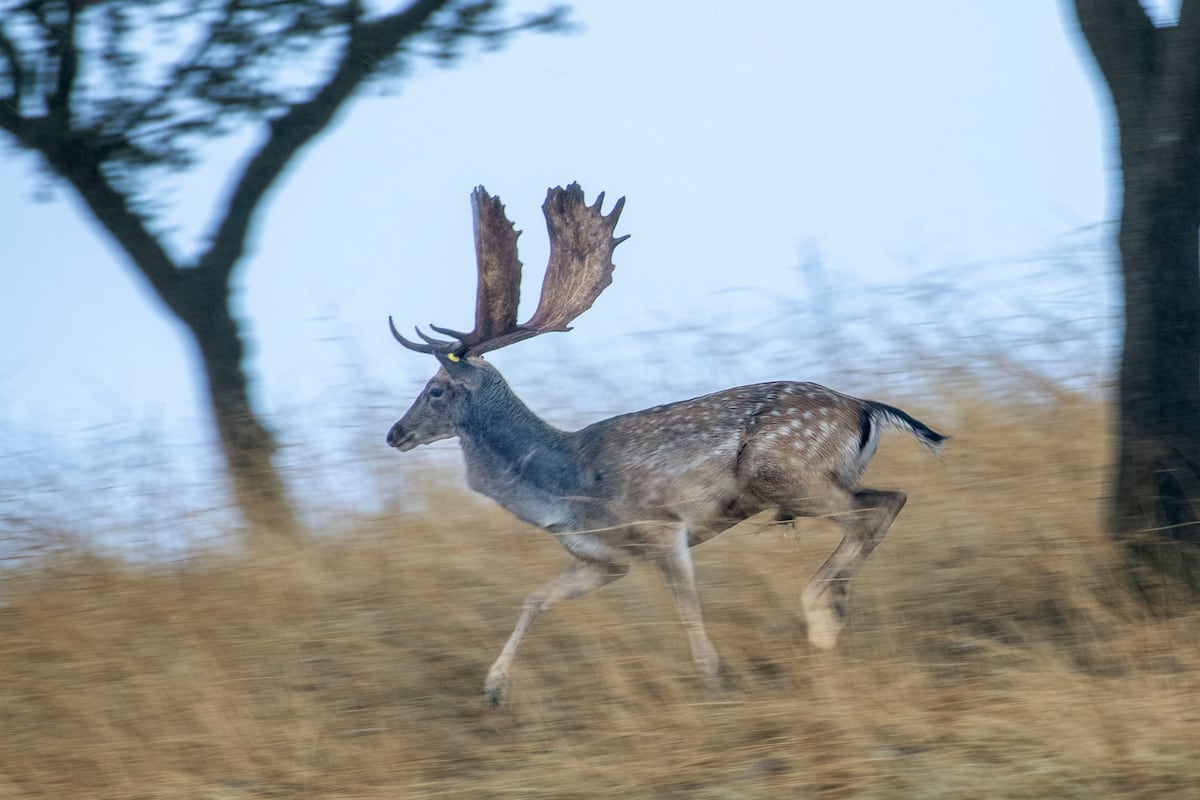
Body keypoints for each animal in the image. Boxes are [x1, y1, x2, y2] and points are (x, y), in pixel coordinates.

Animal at [388, 183, 940, 705]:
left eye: (435, 389)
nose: (395, 433)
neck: (561, 487)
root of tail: (866, 408)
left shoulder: (662, 528)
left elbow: (688, 611)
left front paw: (715, 679)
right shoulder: (604, 560)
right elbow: (534, 598)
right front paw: (494, 689)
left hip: (787, 476)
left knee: (880, 506)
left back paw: (820, 616)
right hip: (809, 483)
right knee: (884, 503)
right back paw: (829, 611)